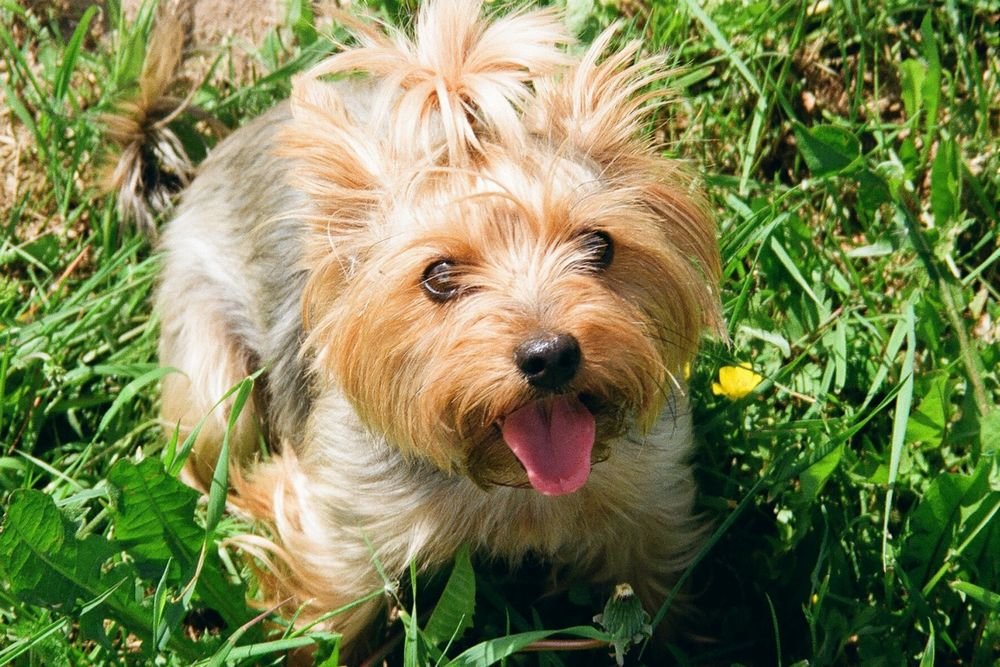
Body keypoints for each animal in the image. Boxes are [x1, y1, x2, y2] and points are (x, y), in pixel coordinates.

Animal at [111, 0, 720, 656]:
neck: (508, 481)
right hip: (209, 371)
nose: (550, 354)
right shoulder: (340, 527)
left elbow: (655, 598)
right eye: (439, 275)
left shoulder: (649, 501)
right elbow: (322, 619)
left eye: (598, 245)